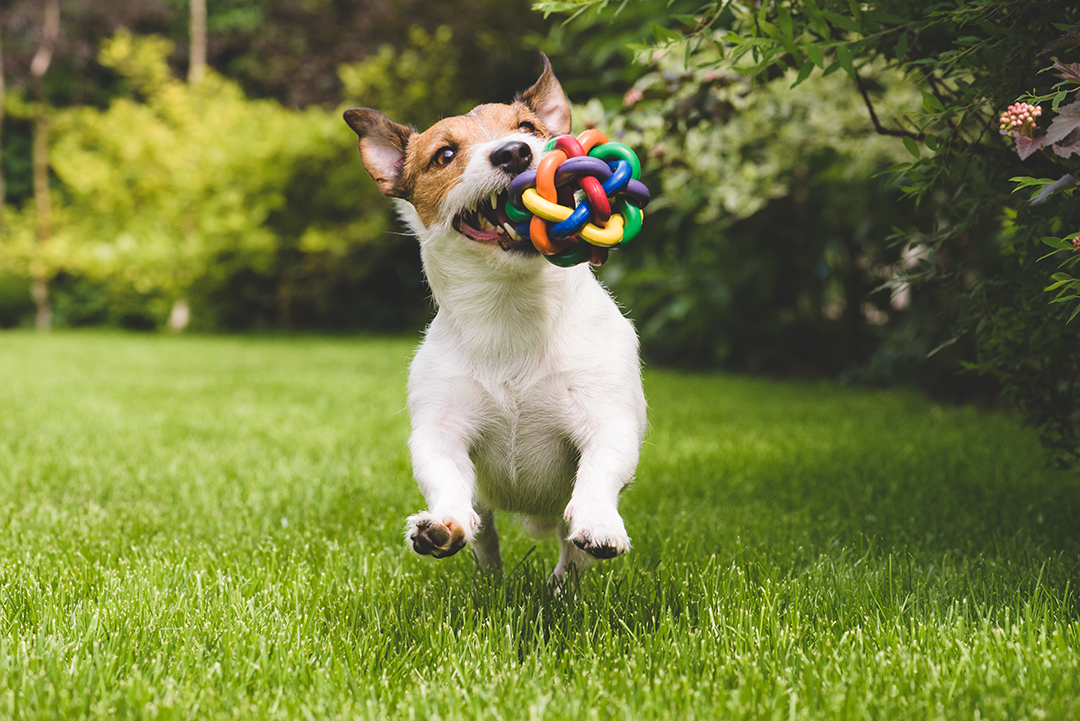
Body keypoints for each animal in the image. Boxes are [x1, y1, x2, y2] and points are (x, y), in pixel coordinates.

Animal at [345, 53, 643, 578]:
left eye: (527, 128)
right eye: (444, 155)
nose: (514, 153)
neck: (511, 308)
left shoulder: (606, 417)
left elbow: (600, 469)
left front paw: (598, 521)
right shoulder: (441, 429)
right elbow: (445, 476)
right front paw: (442, 525)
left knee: (569, 550)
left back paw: (562, 582)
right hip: (484, 508)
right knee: (484, 531)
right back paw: (487, 573)